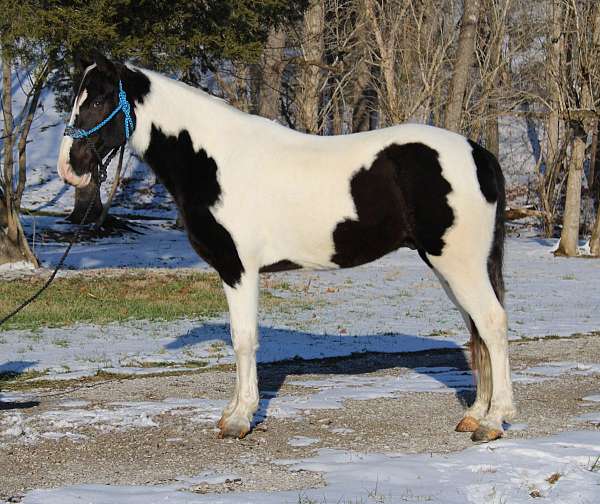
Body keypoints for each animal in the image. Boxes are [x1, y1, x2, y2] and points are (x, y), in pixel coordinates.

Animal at [57, 53, 516, 442]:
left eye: (99, 99)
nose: (69, 167)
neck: (214, 160)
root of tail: (477, 153)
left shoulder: (238, 269)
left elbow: (244, 339)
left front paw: (240, 420)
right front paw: (231, 412)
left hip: (459, 264)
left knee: (492, 323)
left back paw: (493, 421)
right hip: (451, 267)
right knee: (476, 330)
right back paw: (474, 414)